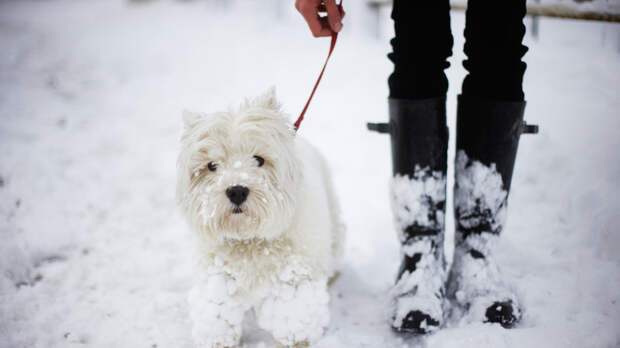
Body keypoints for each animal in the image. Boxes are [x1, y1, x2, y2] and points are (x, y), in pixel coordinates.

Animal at [177, 88, 346, 346]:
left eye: (258, 159)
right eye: (212, 165)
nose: (237, 190)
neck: (250, 240)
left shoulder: (293, 281)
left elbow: (293, 323)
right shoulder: (217, 279)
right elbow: (218, 319)